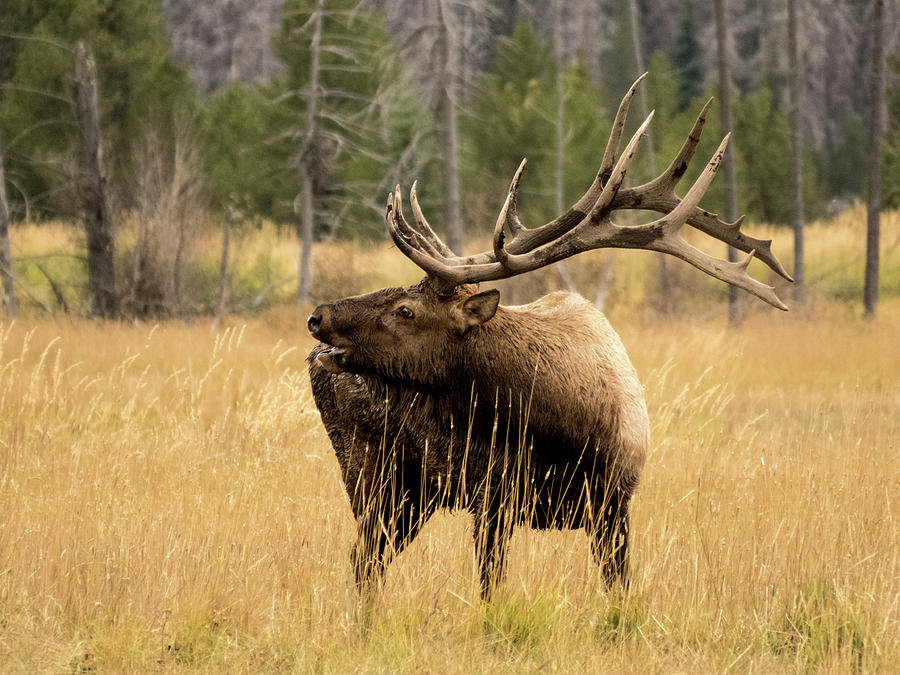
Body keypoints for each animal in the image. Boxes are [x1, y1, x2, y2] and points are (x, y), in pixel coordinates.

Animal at [306, 75, 792, 604]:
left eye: (405, 310)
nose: (317, 317)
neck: (560, 426)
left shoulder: (613, 502)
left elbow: (616, 588)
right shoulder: (493, 499)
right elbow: (490, 589)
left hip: (407, 492)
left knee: (365, 559)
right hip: (377, 475)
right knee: (364, 560)